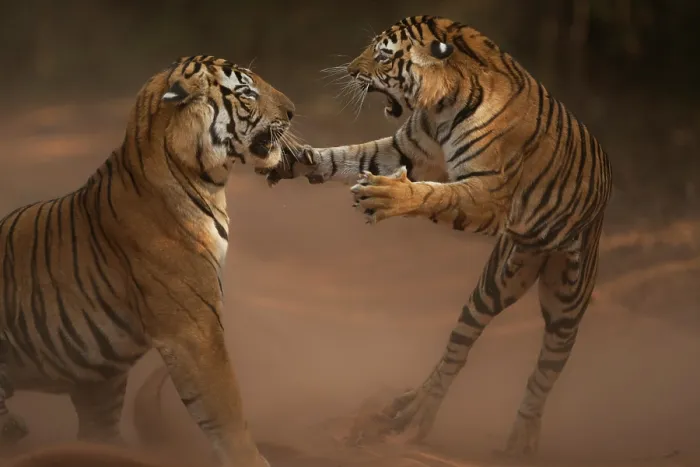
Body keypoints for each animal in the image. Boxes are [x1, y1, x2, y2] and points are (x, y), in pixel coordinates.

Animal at [0, 54, 307, 467]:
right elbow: (226, 408)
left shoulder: (99, 382)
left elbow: (99, 432)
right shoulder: (194, 329)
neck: (203, 182)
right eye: (247, 92)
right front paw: (251, 459)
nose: (292, 111)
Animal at [270, 15, 613, 457]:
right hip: (494, 285)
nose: (348, 70)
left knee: (543, 374)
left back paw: (520, 441)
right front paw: (294, 158)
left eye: (382, 55)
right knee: (457, 350)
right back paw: (410, 413)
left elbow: (433, 195)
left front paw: (386, 195)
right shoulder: (404, 149)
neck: (443, 105)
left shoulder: (486, 194)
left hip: (566, 305)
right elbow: (346, 155)